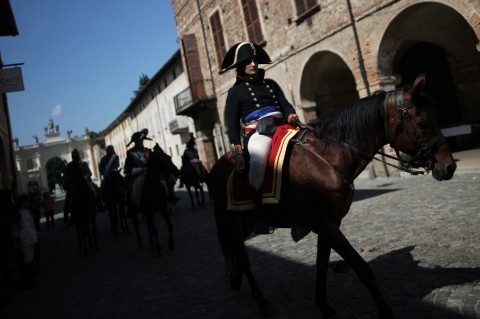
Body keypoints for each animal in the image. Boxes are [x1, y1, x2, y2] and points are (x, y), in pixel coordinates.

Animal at [208, 74, 456, 318]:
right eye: (423, 122)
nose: (449, 166)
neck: (327, 158)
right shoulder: (323, 221)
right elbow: (359, 265)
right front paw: (384, 311)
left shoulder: (330, 222)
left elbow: (322, 262)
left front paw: (323, 304)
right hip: (232, 220)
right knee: (243, 256)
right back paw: (261, 300)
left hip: (244, 222)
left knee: (239, 255)